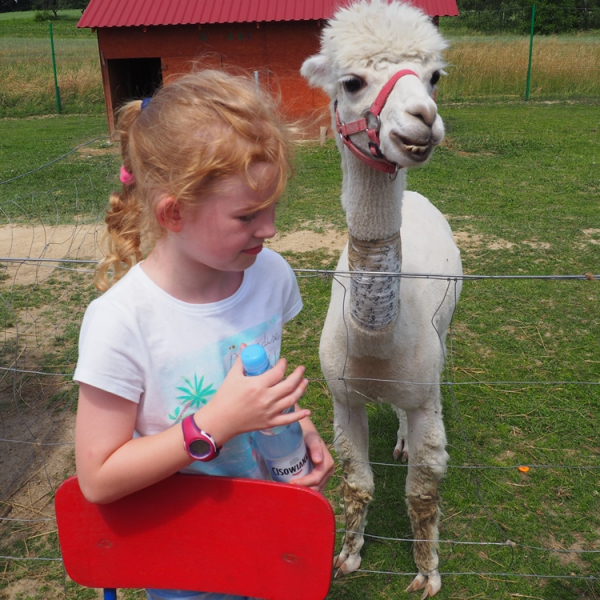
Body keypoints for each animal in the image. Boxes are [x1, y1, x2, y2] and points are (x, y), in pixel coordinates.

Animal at [301, 1, 463, 597]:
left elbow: (423, 492)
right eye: (351, 81)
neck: (375, 339)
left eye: (435, 77)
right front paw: (347, 556)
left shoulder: (423, 396)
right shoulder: (342, 395)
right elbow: (357, 484)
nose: (423, 118)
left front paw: (427, 572)